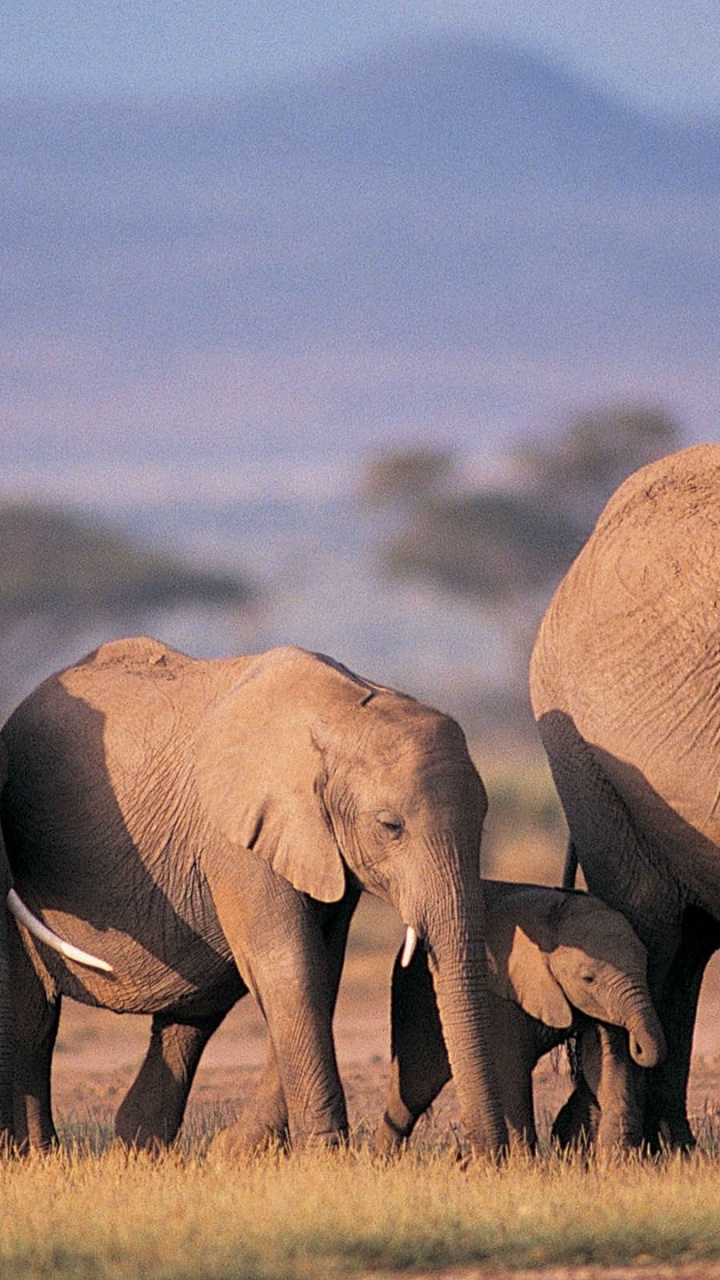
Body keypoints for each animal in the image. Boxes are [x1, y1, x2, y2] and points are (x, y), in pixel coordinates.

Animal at [0, 636, 508, 1156]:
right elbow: (289, 964)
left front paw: (241, 1153)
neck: (344, 712)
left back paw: (137, 1152)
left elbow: (321, 967)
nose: (480, 1158)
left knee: (191, 1016)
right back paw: (38, 1154)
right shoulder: (236, 838)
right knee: (33, 1018)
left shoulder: (319, 843)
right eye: (391, 826)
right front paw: (325, 1156)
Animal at [376, 879, 665, 1155]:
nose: (637, 1044)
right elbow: (510, 1069)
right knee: (418, 1082)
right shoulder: (500, 993)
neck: (555, 914)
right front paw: (525, 1166)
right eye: (588, 978)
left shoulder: (601, 1005)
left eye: (646, 963)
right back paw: (384, 1161)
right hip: (415, 993)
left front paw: (617, 1162)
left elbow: (607, 1062)